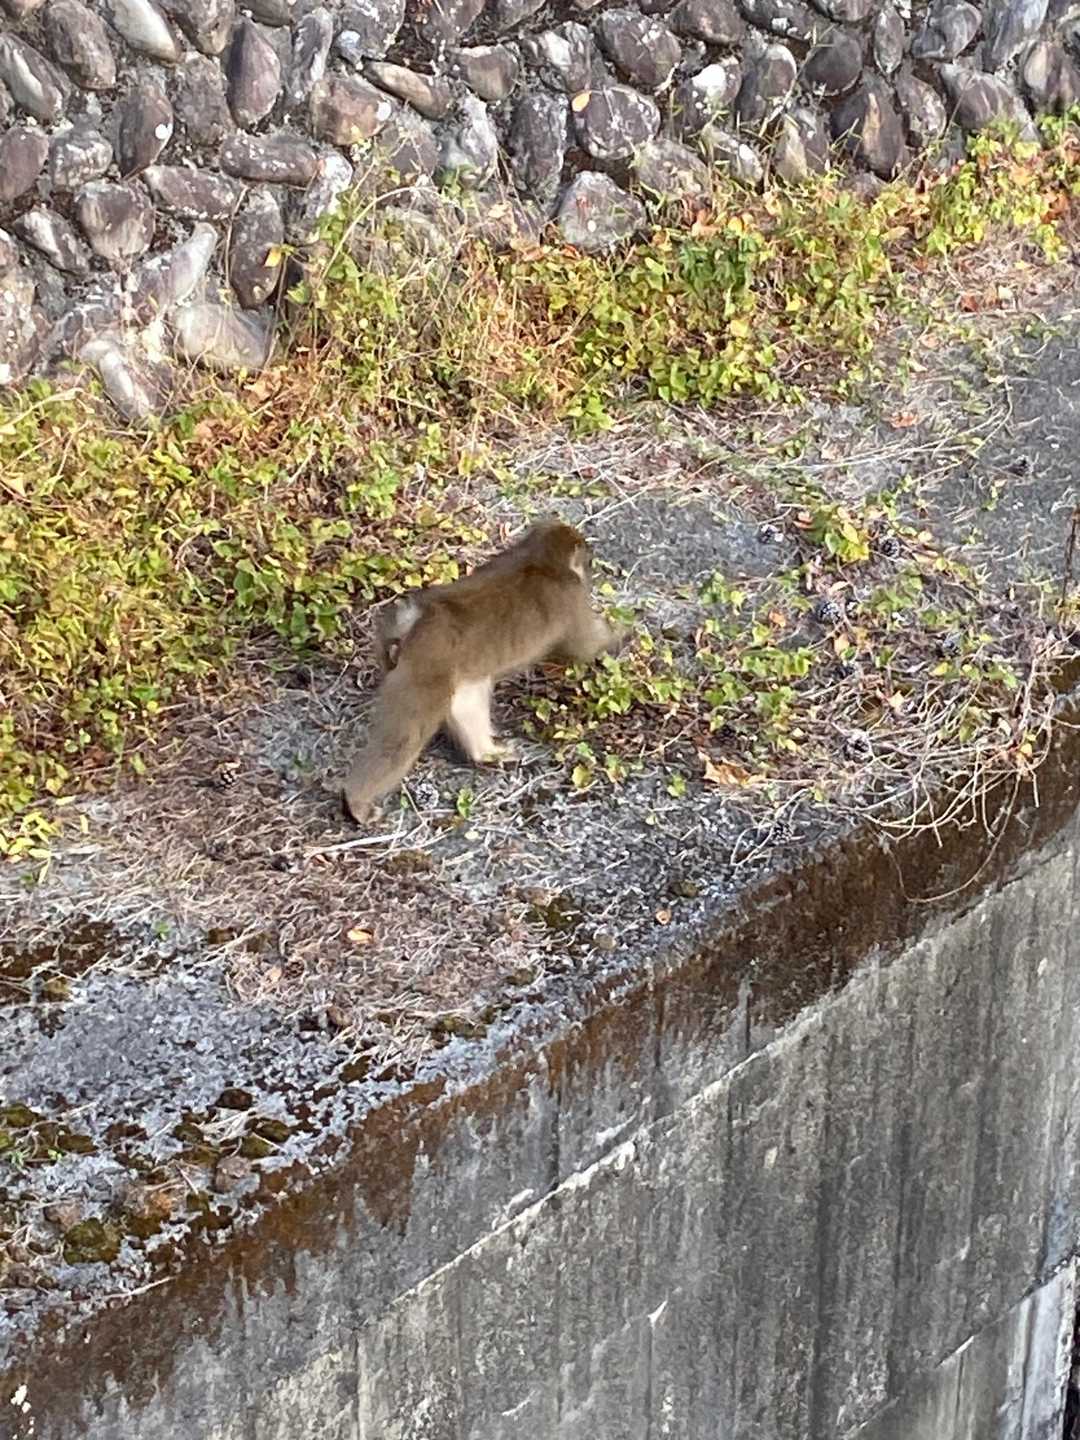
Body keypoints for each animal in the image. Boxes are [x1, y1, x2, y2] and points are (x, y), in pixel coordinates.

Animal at [342, 519, 624, 824]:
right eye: (588, 558)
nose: (591, 567)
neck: (540, 559)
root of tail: (418, 616)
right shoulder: (571, 600)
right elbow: (585, 648)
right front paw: (625, 632)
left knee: (468, 698)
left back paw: (485, 753)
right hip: (424, 672)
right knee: (403, 738)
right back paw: (357, 802)